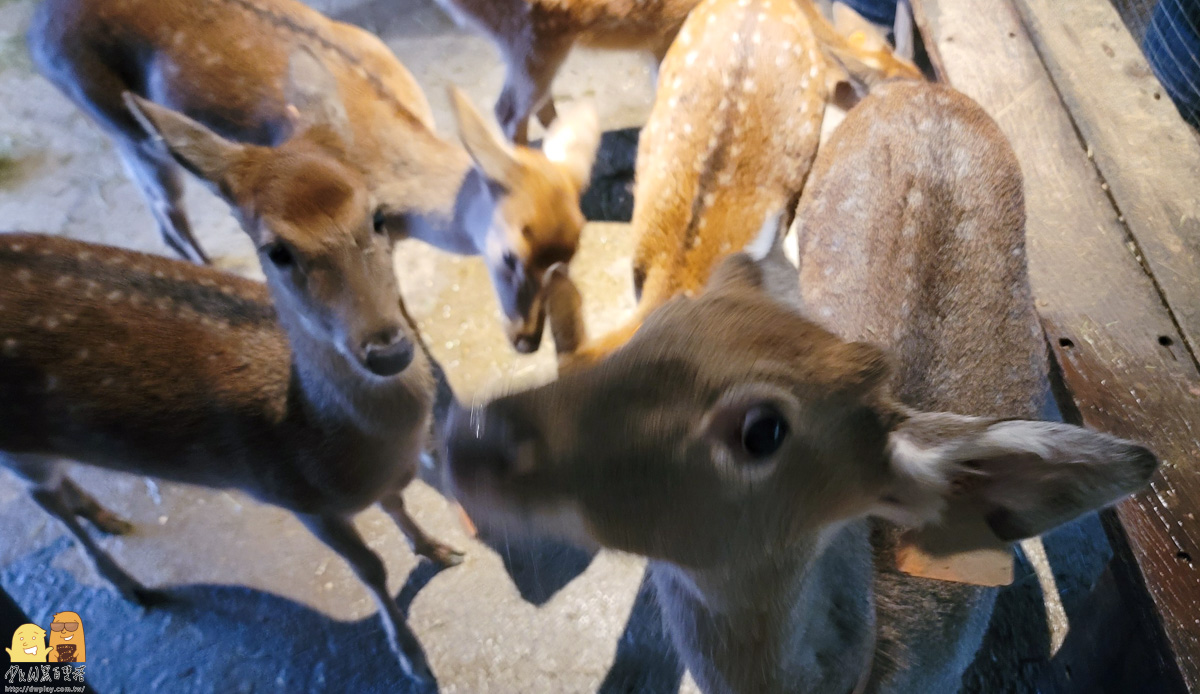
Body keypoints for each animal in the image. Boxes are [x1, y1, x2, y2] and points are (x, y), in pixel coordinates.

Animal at [0, 217, 446, 677]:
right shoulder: (300, 498)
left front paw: (436, 549)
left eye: (377, 221)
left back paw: (107, 518)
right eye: (278, 253)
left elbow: (397, 505)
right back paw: (130, 585)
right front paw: (413, 658)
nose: (388, 349)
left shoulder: (387, 479)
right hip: (17, 440)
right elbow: (371, 568)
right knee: (45, 501)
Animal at [31, 0, 600, 350]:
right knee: (167, 217)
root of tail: (36, 31)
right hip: (120, 124)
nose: (526, 340)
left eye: (573, 251)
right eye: (508, 255)